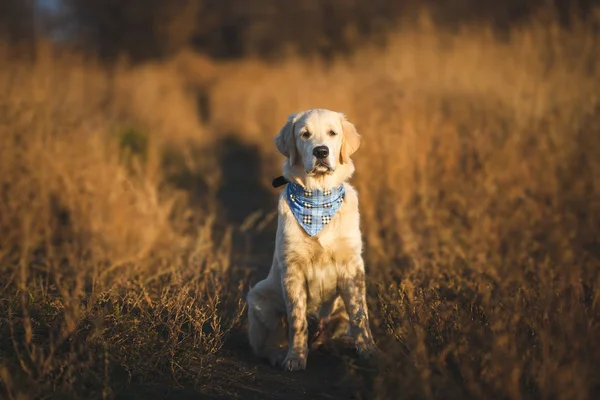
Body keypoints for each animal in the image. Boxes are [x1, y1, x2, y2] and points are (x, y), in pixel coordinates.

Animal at [245, 108, 378, 372]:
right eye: (305, 134)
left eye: (332, 133)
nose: (321, 152)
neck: (317, 197)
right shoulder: (292, 269)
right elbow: (297, 321)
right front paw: (295, 358)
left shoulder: (352, 266)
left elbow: (360, 316)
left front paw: (368, 351)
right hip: (259, 297)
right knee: (266, 345)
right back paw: (279, 354)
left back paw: (344, 343)